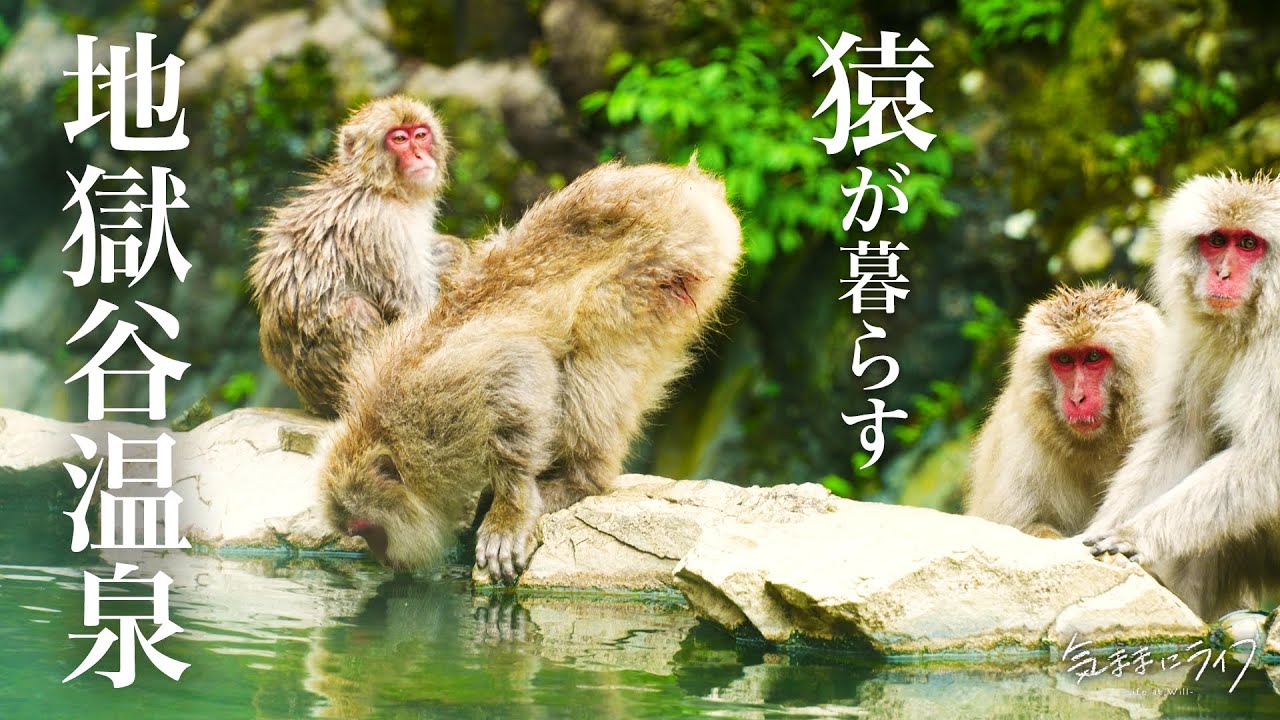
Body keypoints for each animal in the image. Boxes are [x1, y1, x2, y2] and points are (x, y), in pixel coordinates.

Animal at [247, 95, 462, 417]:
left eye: (421, 134)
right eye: (399, 139)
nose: (420, 156)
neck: (377, 185)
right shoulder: (382, 226)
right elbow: (414, 310)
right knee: (355, 308)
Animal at [319, 161, 743, 582]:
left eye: (368, 529)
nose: (383, 560)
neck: (388, 430)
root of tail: (696, 190)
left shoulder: (437, 396)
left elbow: (519, 363)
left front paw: (511, 507)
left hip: (665, 262)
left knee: (595, 335)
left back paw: (578, 480)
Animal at [1082, 171, 1280, 620]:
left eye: (1248, 244)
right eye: (1217, 241)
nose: (1222, 274)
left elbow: (1265, 461)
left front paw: (1134, 532)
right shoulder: (1199, 336)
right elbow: (1182, 432)